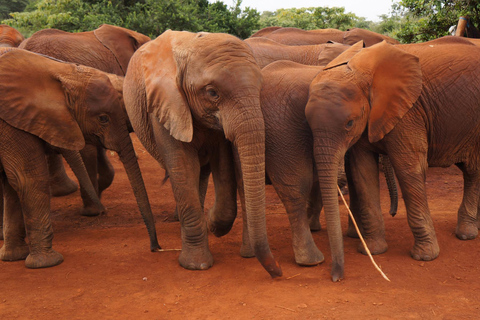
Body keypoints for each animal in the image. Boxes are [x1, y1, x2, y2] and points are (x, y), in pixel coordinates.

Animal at [0, 47, 159, 268]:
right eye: (103, 118)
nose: (155, 248)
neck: (58, 70)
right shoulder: (11, 123)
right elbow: (28, 180)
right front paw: (47, 263)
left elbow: (11, 184)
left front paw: (14, 257)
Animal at [122, 31, 284, 278]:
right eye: (212, 93)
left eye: (260, 89)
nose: (278, 274)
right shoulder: (165, 105)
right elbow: (182, 166)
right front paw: (195, 265)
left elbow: (224, 166)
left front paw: (212, 224)